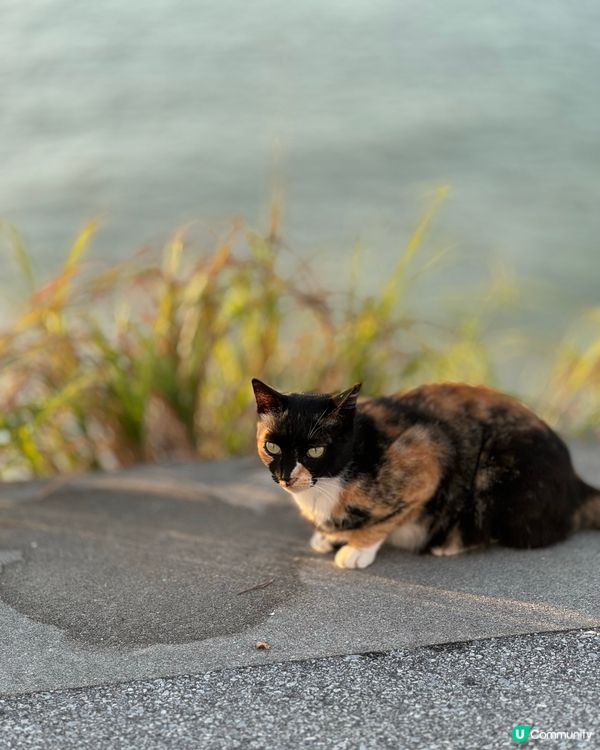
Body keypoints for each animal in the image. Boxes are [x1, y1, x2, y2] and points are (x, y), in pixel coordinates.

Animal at [251, 382, 596, 568]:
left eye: (315, 451)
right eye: (272, 446)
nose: (286, 476)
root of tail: (577, 484)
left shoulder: (428, 452)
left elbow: (390, 518)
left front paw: (357, 548)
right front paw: (328, 536)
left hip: (498, 465)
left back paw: (451, 543)